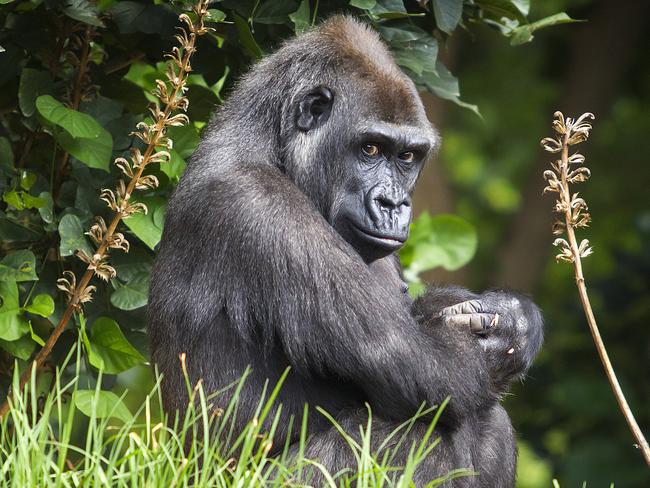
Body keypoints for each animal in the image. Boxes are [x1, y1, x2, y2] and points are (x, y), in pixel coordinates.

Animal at [147, 15, 540, 488]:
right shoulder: (259, 207)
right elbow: (426, 367)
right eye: (369, 148)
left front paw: (516, 318)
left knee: (486, 419)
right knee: (416, 430)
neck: (269, 142)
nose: (393, 204)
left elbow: (419, 320)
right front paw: (504, 335)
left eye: (407, 157)